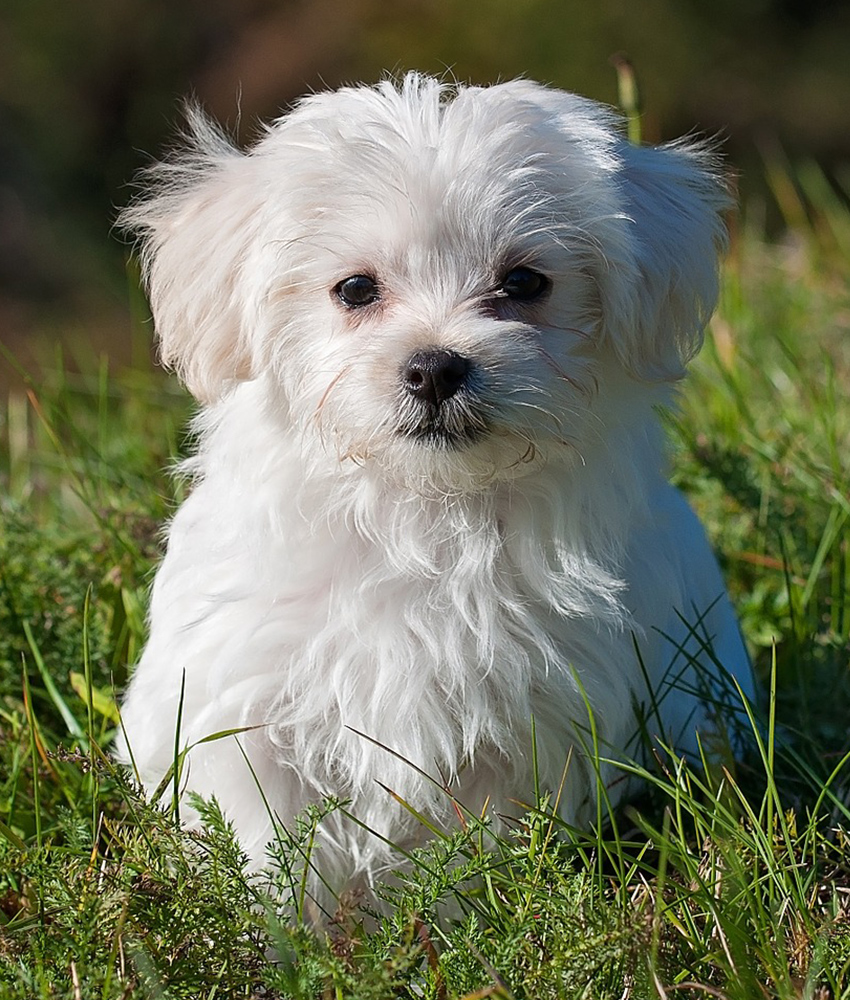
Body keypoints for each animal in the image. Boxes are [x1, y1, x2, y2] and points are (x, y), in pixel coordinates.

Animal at [116, 74, 752, 908]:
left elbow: (470, 855)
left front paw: (459, 923)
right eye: (355, 289)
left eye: (524, 282)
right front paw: (277, 932)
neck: (425, 513)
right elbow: (266, 846)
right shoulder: (244, 707)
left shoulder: (526, 725)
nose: (434, 367)